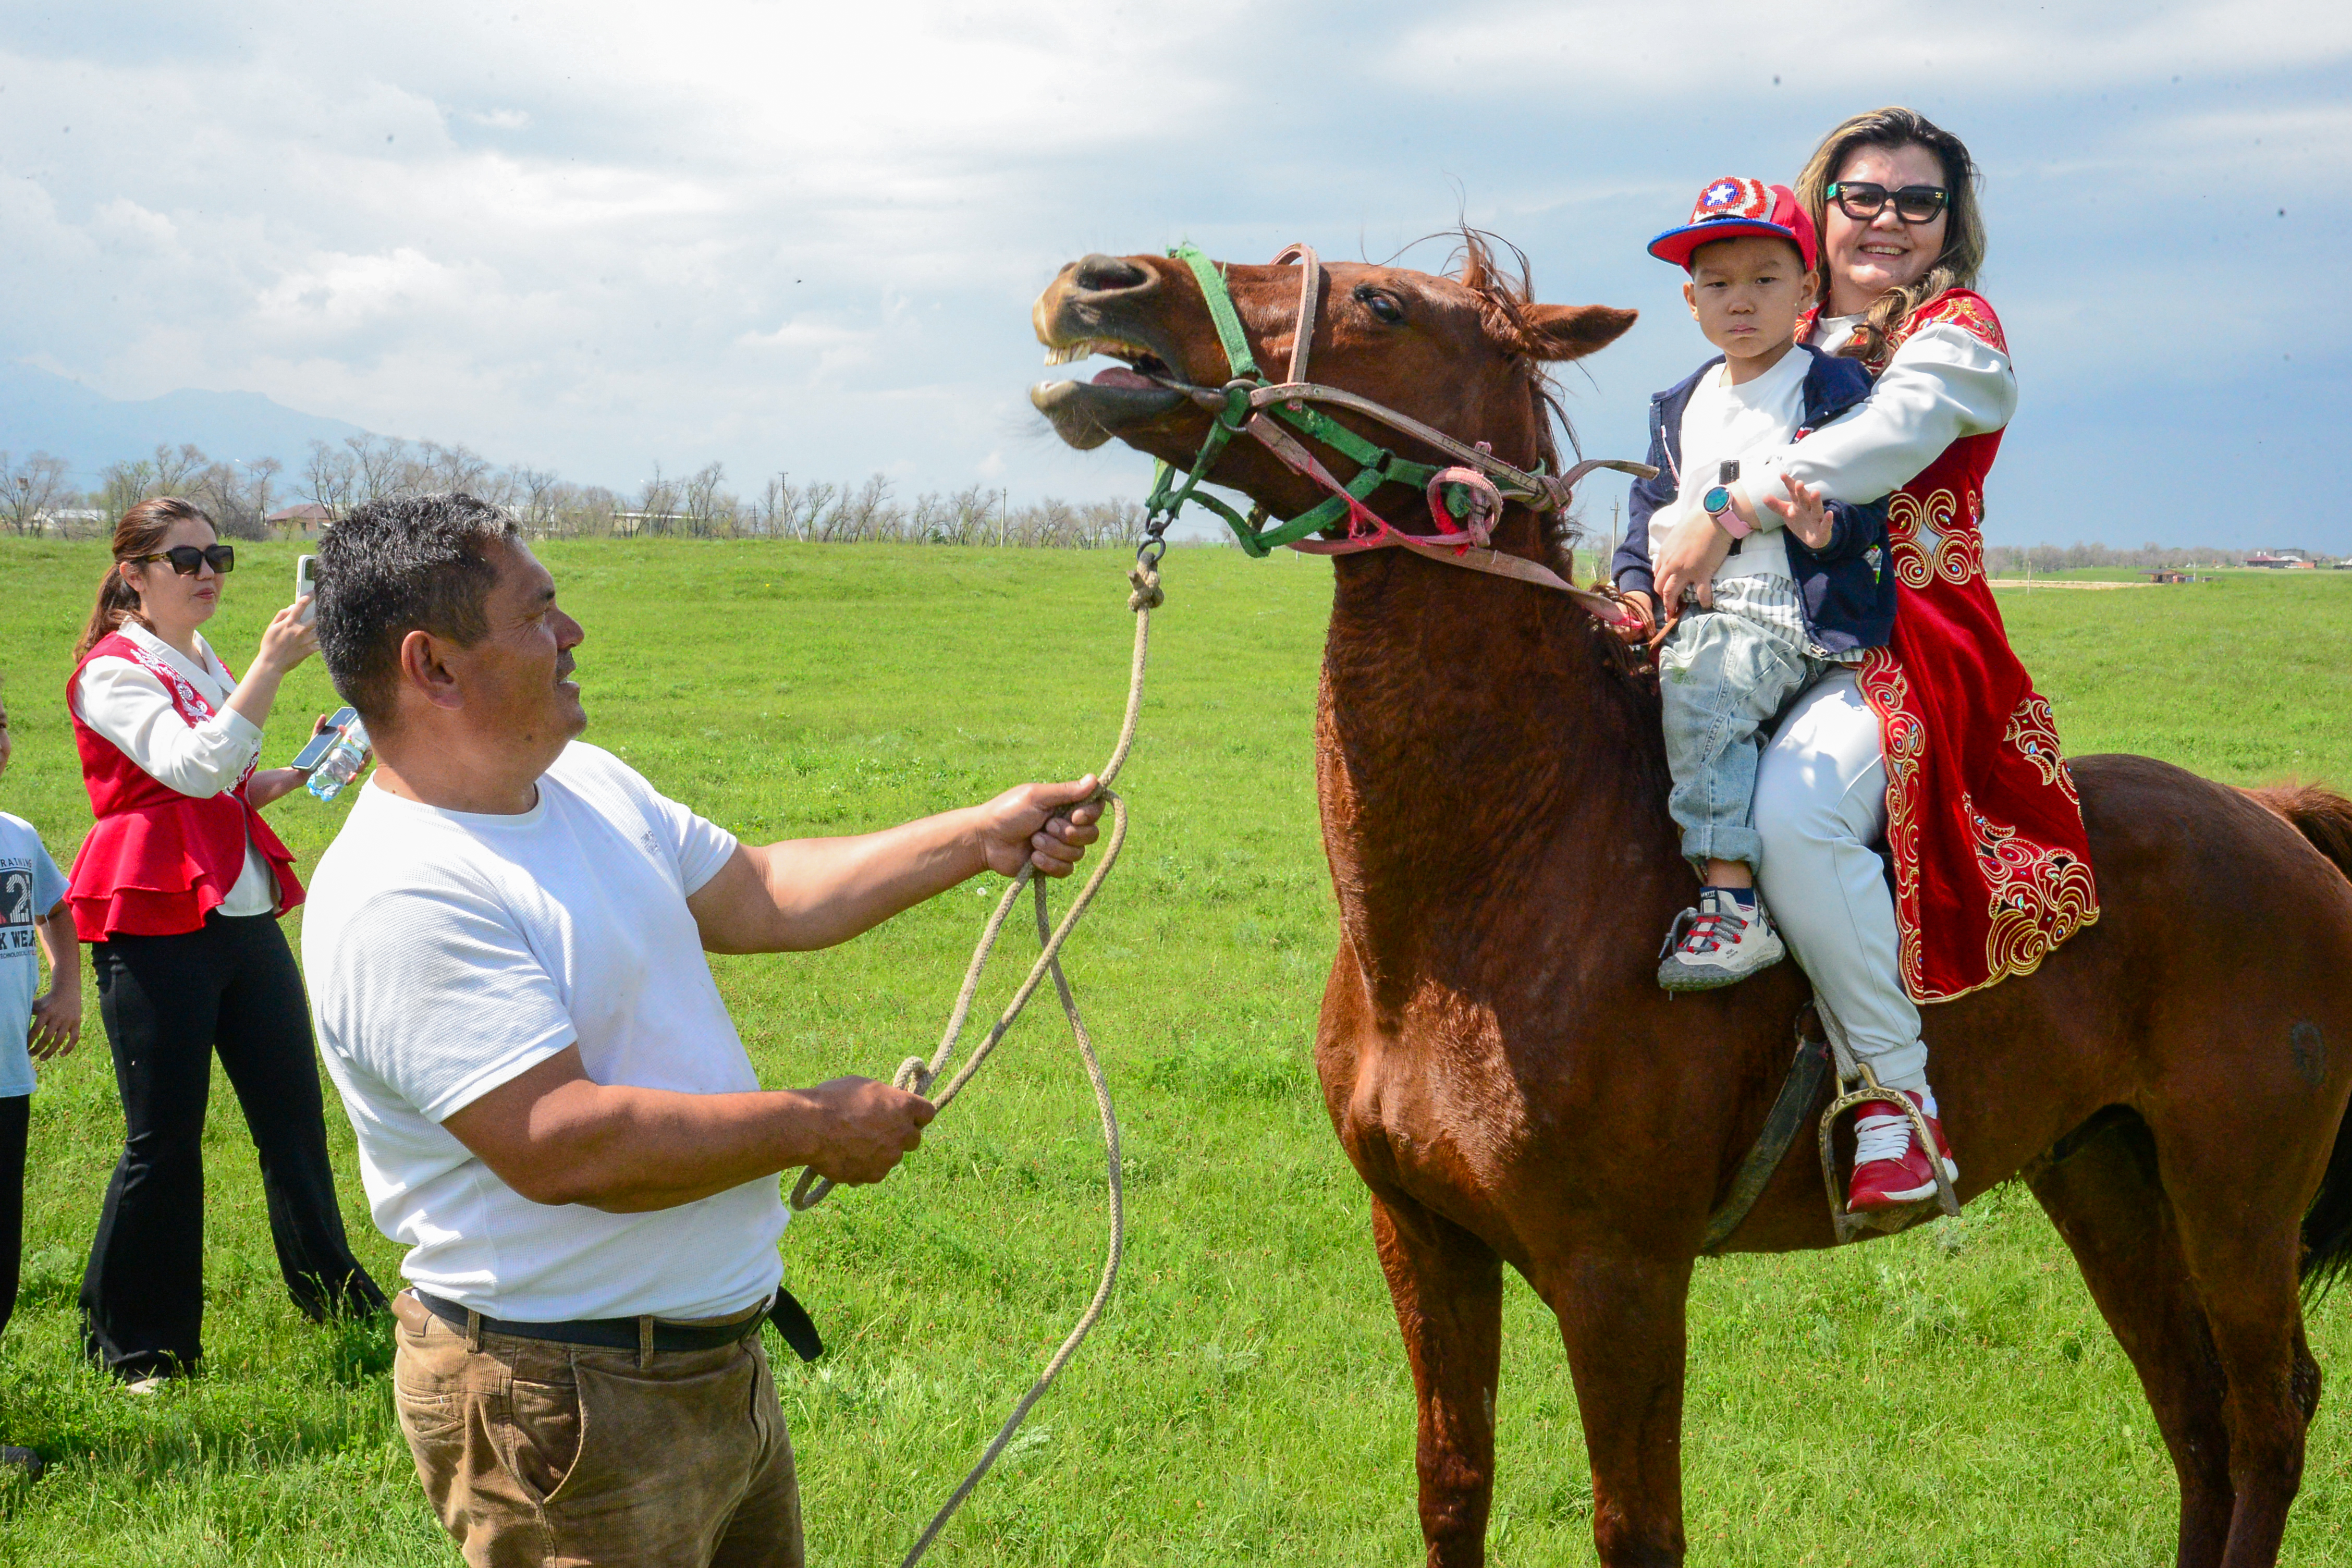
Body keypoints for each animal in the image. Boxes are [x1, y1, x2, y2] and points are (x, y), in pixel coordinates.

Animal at [1030, 236, 2352, 1568]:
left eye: (1381, 302)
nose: (1099, 282)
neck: (1491, 887)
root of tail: (2273, 817)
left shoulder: (1618, 1275)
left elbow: (1636, 1526)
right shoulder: (1421, 1235)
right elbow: (1451, 1483)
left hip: (2232, 1201)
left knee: (2265, 1415)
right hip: (2105, 1179)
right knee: (2194, 1418)